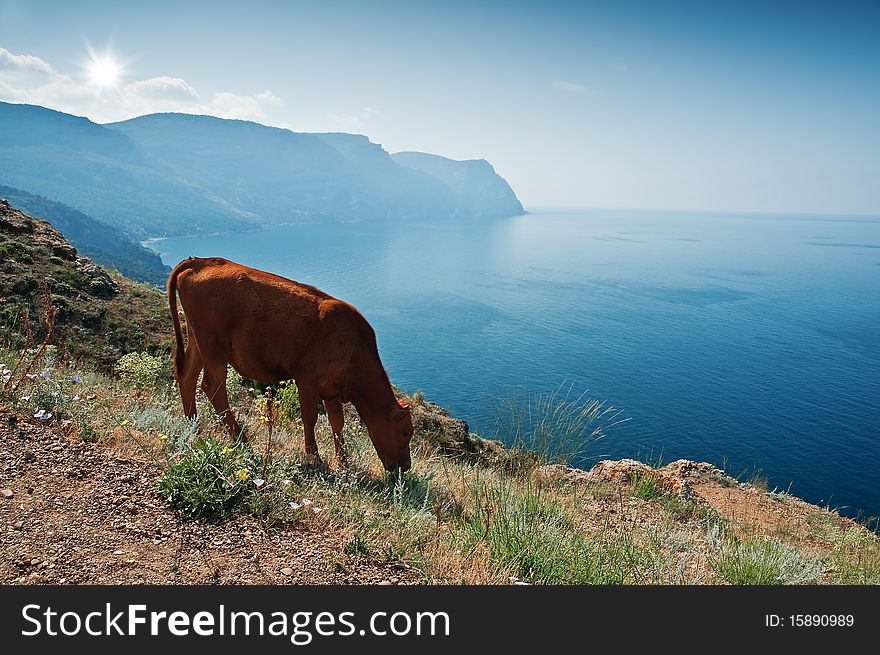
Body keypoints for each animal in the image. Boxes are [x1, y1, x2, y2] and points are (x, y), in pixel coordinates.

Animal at [167, 256, 414, 472]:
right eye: (405, 433)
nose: (405, 466)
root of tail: (199, 261)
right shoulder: (307, 380)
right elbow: (310, 418)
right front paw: (314, 458)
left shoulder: (331, 389)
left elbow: (337, 423)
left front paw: (343, 462)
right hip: (213, 346)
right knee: (212, 387)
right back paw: (242, 441)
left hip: (197, 340)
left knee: (188, 375)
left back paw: (193, 428)